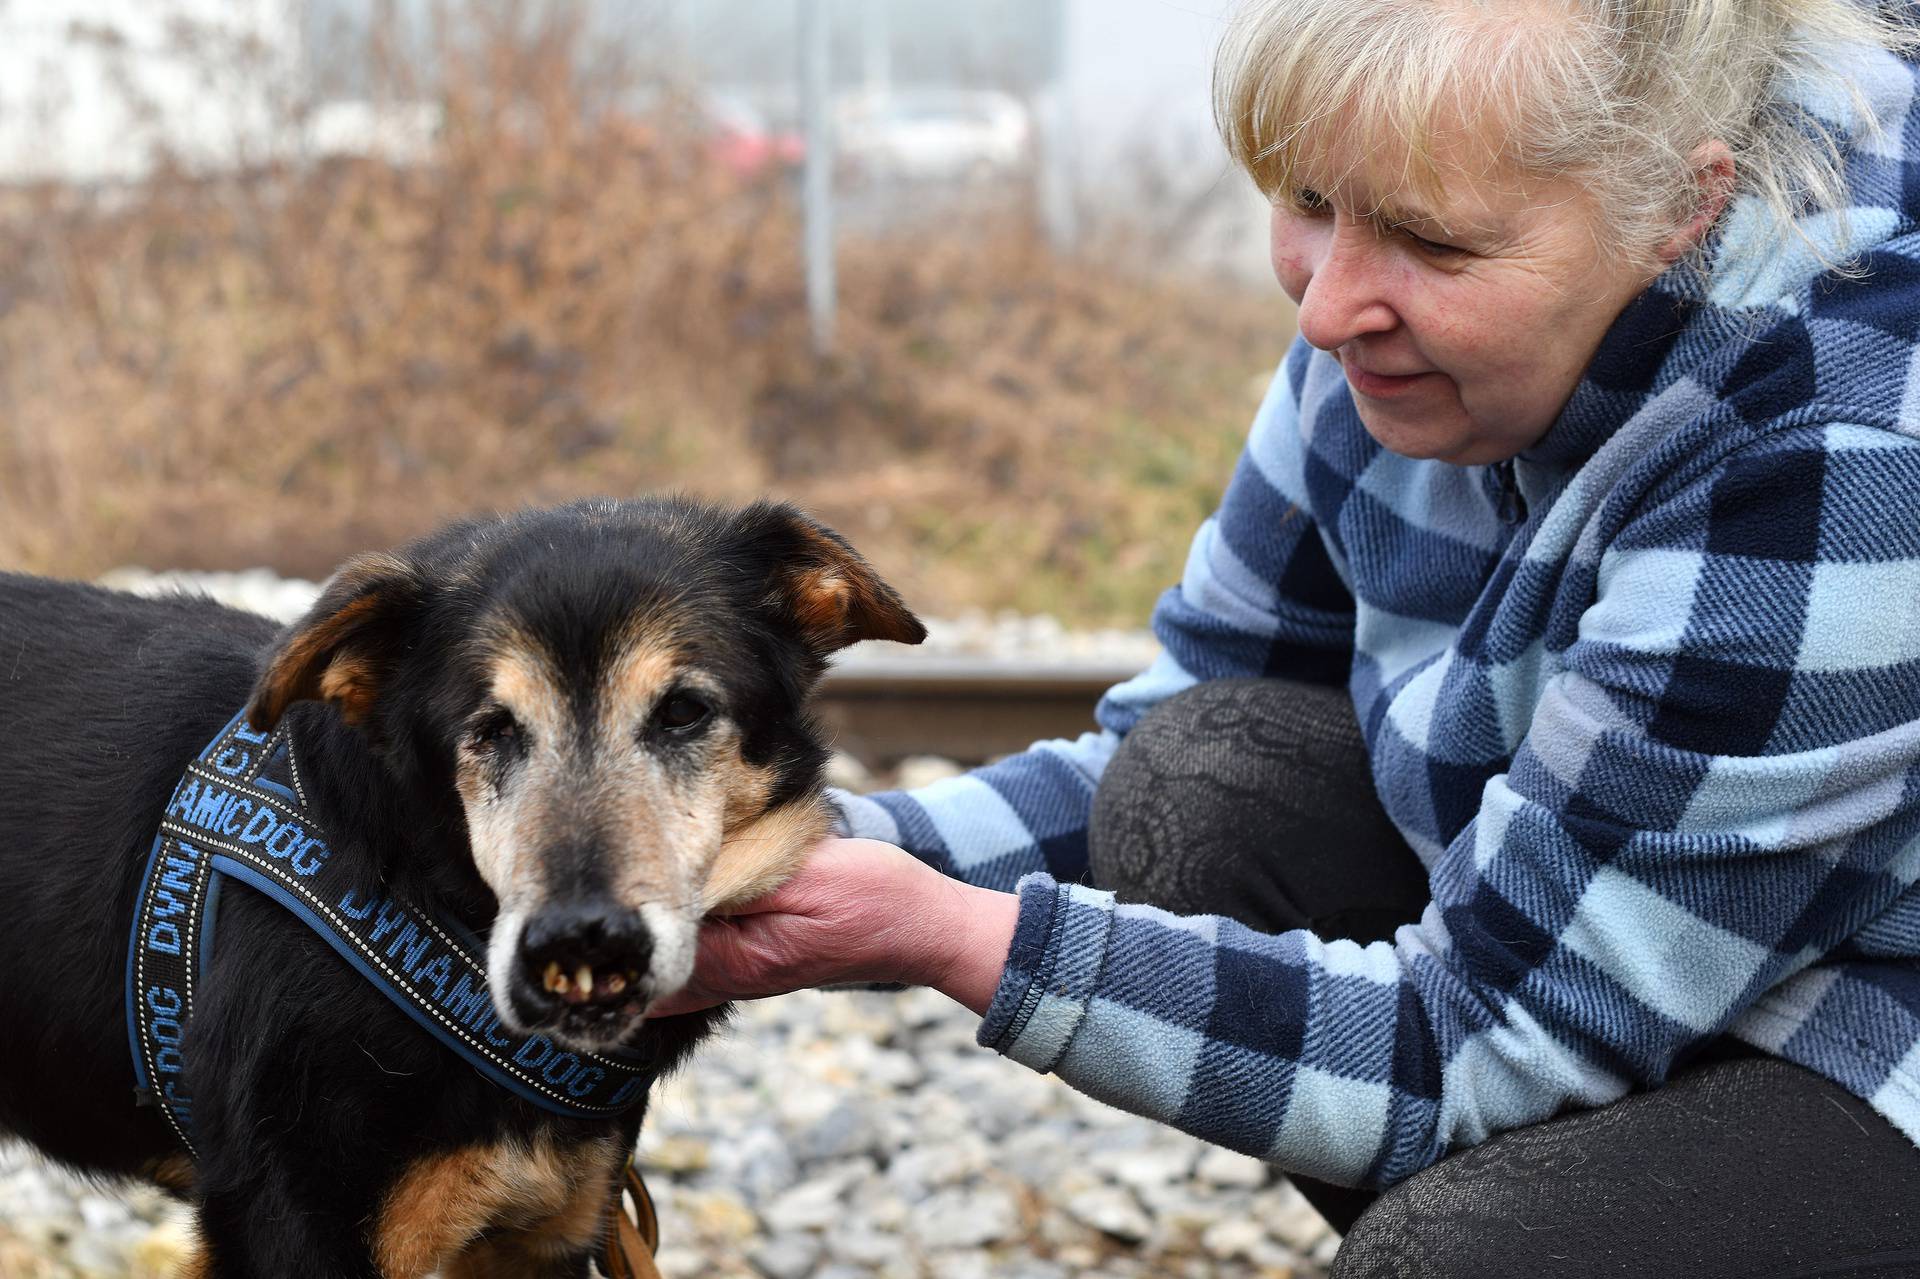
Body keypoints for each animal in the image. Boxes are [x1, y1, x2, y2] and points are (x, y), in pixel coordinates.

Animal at [0, 495, 921, 1267]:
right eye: (490, 729)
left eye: (684, 711)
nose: (582, 943)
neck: (421, 888)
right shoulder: (291, 1224)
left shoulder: (547, 1229)